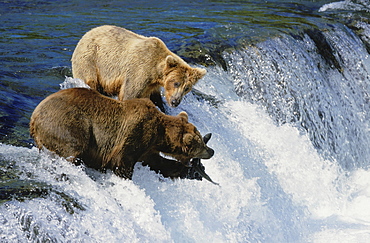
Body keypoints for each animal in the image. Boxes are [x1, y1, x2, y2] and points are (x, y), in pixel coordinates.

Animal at [28, 87, 214, 178]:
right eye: (199, 142)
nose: (211, 151)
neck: (159, 135)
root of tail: (34, 115)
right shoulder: (135, 134)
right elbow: (122, 162)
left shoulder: (148, 148)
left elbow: (157, 163)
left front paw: (188, 171)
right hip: (68, 123)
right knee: (73, 147)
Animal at [71, 24, 207, 110]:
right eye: (176, 83)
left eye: (187, 88)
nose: (175, 102)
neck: (155, 72)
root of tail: (87, 33)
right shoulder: (139, 71)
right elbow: (129, 94)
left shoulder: (152, 85)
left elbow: (155, 99)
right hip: (91, 60)